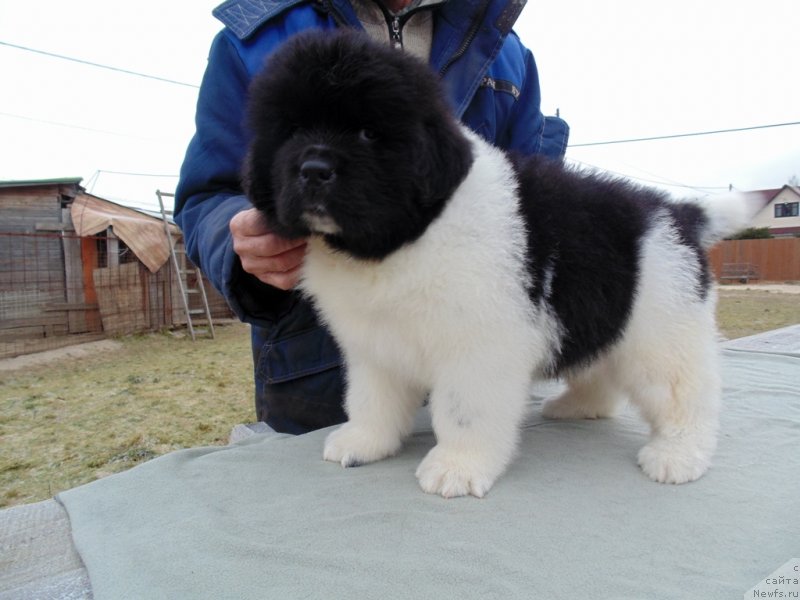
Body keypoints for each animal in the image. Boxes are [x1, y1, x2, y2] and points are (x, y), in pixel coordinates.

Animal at [244, 30, 752, 500]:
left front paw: (457, 467)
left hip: (662, 333)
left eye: (368, 133)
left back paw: (678, 455)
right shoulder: (374, 347)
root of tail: (680, 212)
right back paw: (577, 407)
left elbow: (464, 411)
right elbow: (370, 399)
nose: (313, 170)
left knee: (685, 394)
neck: (405, 237)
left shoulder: (478, 347)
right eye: (291, 131)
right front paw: (363, 442)